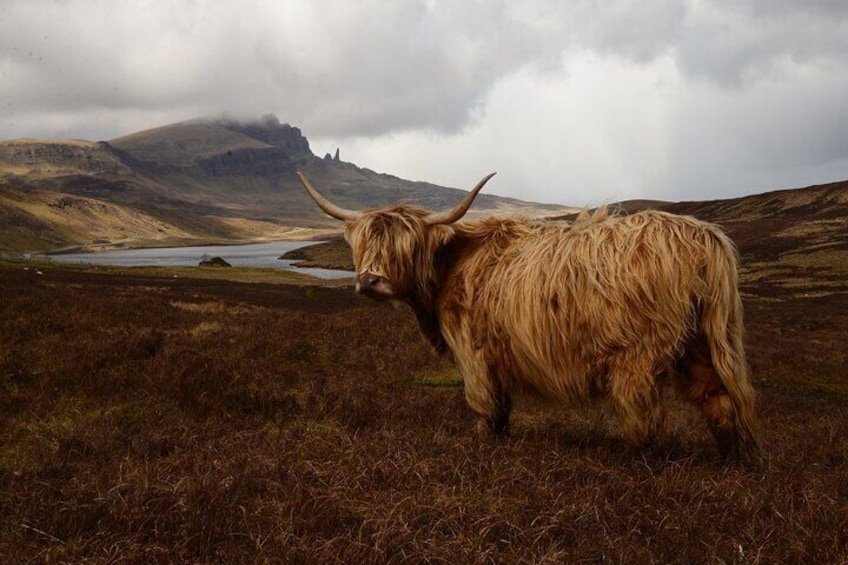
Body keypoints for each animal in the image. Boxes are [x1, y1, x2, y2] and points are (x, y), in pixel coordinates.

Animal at [298, 172, 760, 462]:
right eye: (362, 244)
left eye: (402, 247)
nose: (369, 280)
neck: (449, 265)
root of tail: (701, 235)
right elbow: (501, 406)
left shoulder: (473, 350)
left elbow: (485, 404)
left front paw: (483, 446)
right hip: (702, 340)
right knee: (719, 398)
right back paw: (733, 462)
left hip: (637, 355)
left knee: (644, 413)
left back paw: (637, 460)